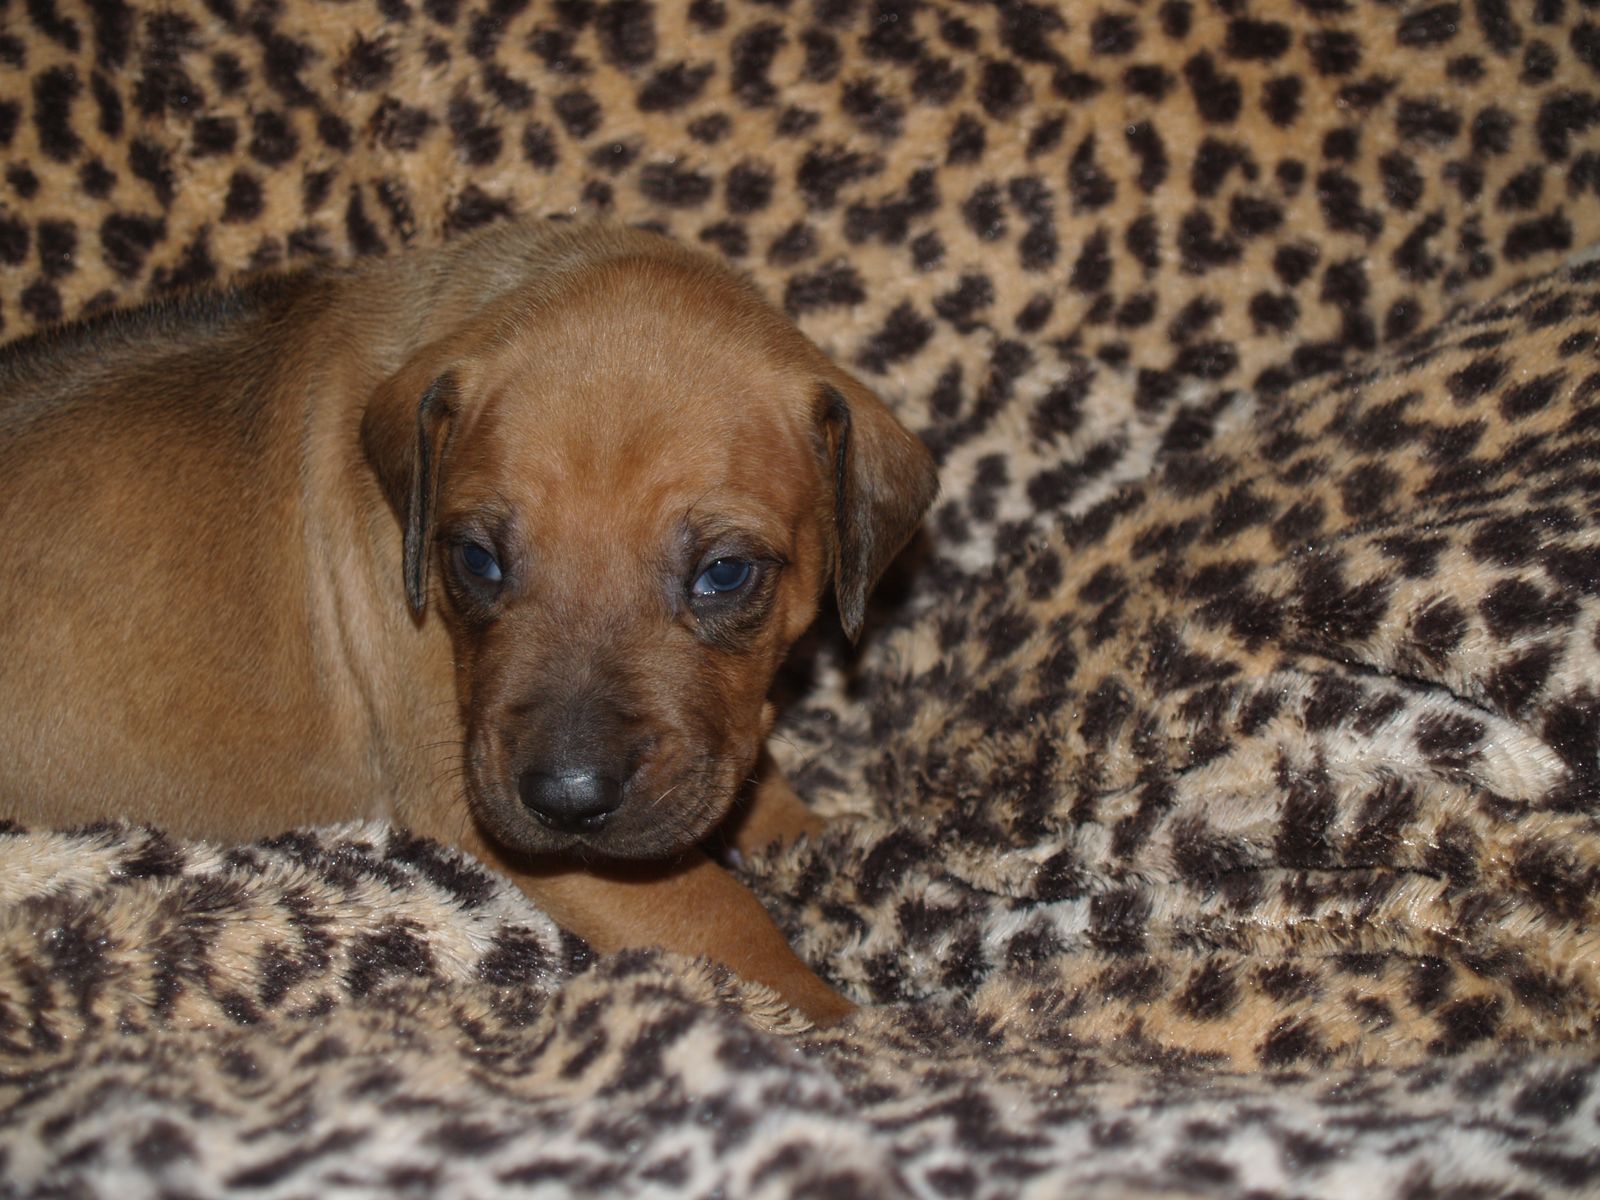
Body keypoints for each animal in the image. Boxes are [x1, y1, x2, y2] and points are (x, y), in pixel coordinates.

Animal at [0, 220, 936, 1025]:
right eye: (478, 559)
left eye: (725, 573)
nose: (566, 802)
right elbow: (719, 909)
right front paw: (843, 1021)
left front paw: (817, 832)